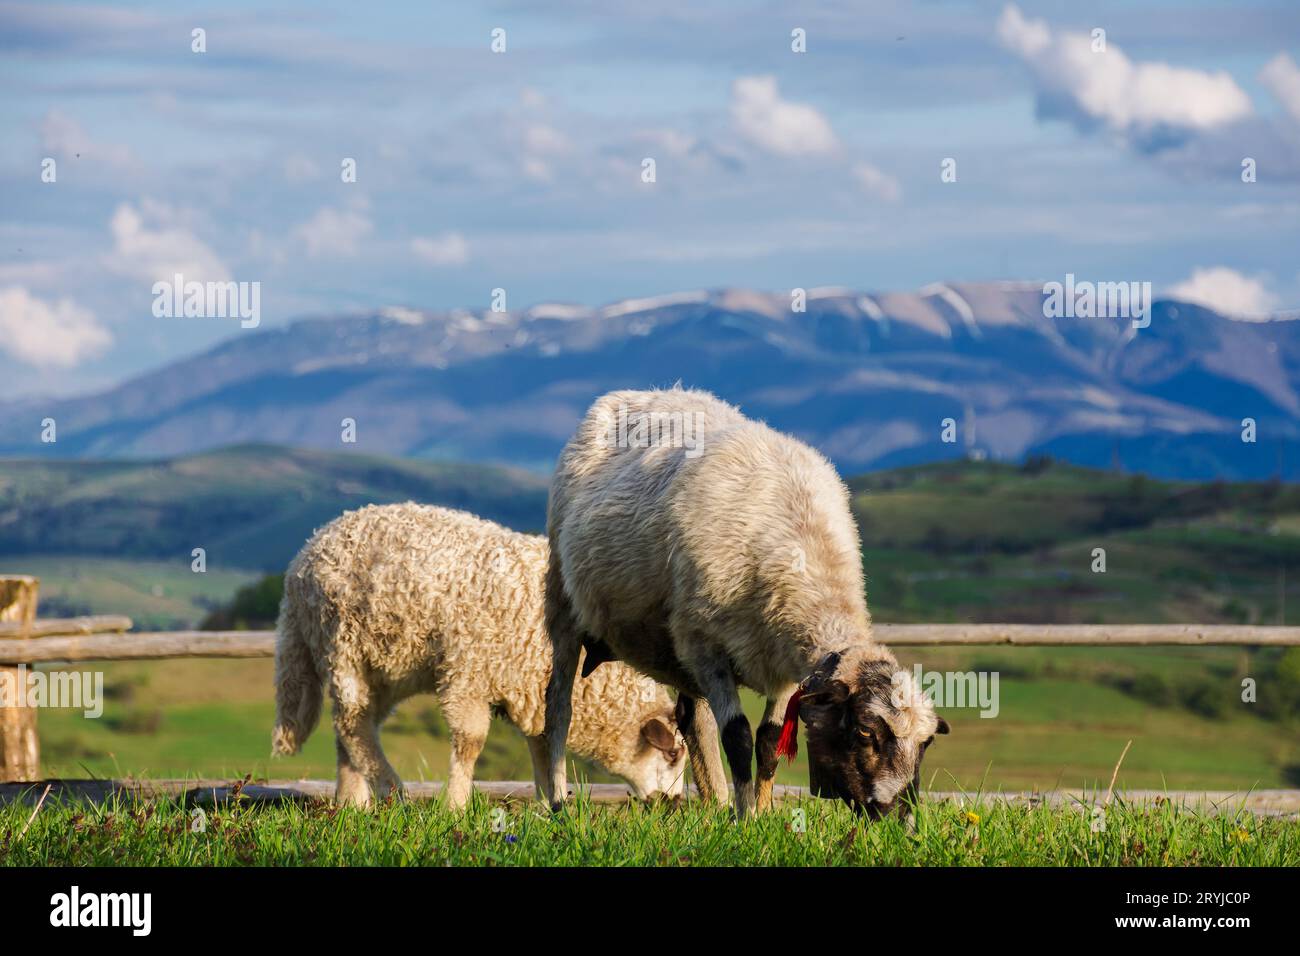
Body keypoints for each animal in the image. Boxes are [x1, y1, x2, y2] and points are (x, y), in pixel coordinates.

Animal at [272, 502, 688, 808]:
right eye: (671, 756)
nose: (672, 803)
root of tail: (305, 556)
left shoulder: (535, 690)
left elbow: (543, 746)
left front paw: (549, 805)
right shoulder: (469, 672)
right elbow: (471, 742)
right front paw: (456, 806)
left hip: (386, 665)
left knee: (356, 728)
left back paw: (353, 802)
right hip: (342, 649)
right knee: (351, 722)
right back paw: (393, 791)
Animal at [542, 387, 949, 818]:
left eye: (926, 744)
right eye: (866, 732)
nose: (901, 818)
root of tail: (641, 392)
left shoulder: (786, 662)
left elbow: (769, 742)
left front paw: (764, 811)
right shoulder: (706, 647)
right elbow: (737, 737)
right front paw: (745, 816)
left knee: (693, 720)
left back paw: (715, 803)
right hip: (564, 601)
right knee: (559, 707)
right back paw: (557, 800)